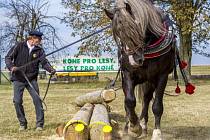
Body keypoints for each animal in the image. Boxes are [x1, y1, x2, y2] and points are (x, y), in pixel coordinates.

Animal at [106, 0, 176, 138]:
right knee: (129, 102)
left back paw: (143, 125)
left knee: (146, 99)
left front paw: (156, 133)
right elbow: (129, 101)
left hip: (150, 81)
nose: (135, 59)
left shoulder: (162, 75)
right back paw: (129, 126)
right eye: (118, 33)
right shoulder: (127, 74)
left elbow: (157, 106)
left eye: (137, 26)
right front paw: (133, 127)